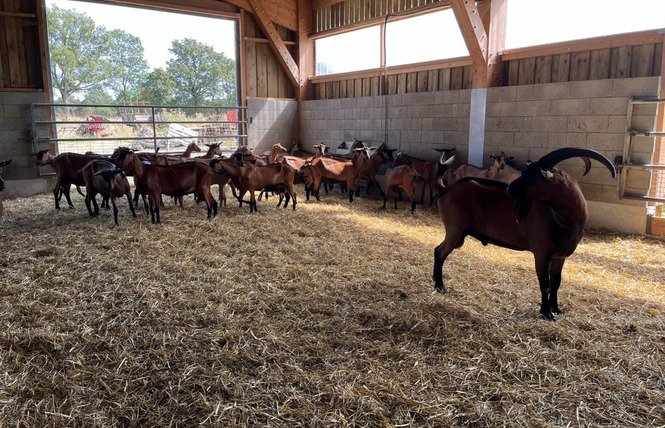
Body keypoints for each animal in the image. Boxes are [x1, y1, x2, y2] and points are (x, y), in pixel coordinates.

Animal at [434, 147, 616, 320]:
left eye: (535, 175)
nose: (509, 188)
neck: (561, 220)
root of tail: (446, 189)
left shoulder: (560, 256)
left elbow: (556, 283)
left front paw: (556, 309)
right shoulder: (542, 254)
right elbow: (545, 284)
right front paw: (546, 313)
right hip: (455, 230)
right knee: (440, 252)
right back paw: (440, 287)